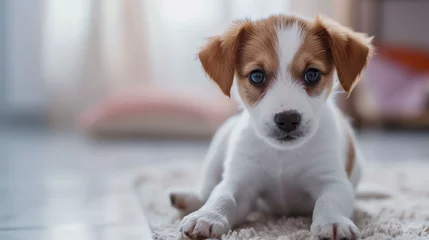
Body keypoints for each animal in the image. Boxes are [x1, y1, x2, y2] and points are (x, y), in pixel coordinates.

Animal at [169, 14, 372, 239]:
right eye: (257, 76)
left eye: (312, 74)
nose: (288, 119)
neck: (282, 155)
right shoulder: (240, 182)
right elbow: (222, 195)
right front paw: (208, 216)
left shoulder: (332, 180)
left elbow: (330, 201)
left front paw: (333, 221)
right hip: (220, 143)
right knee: (208, 186)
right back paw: (190, 199)